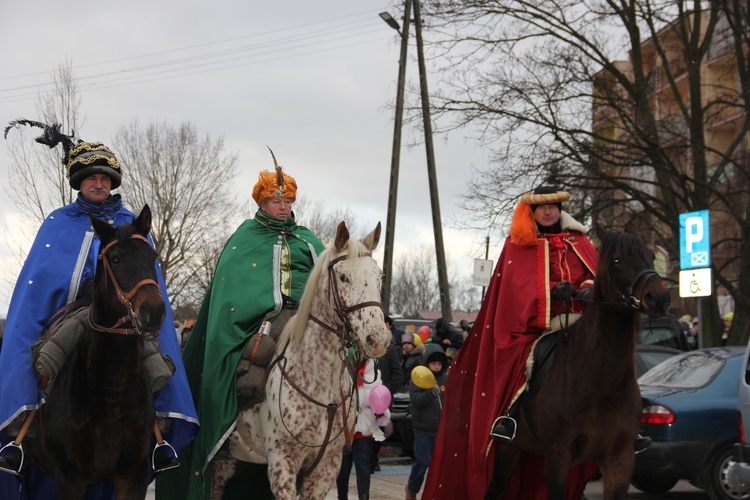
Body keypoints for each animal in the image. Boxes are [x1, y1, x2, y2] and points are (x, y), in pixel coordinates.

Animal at [29, 205, 166, 498]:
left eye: (152, 256)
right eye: (115, 259)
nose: (154, 311)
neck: (111, 391)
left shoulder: (133, 474)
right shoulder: (69, 477)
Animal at [490, 224, 672, 500]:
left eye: (650, 257)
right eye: (617, 260)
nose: (658, 298)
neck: (602, 381)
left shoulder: (620, 459)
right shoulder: (557, 458)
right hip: (508, 451)